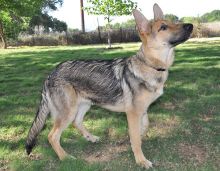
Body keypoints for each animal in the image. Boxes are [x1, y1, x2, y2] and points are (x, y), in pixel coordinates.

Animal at [26, 3, 192, 168]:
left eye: (172, 22)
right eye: (163, 27)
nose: (190, 25)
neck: (150, 65)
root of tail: (51, 74)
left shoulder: (142, 111)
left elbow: (144, 127)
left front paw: (138, 138)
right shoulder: (133, 113)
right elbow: (135, 138)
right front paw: (141, 160)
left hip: (84, 106)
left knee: (76, 123)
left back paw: (91, 137)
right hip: (68, 112)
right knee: (52, 136)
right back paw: (65, 157)